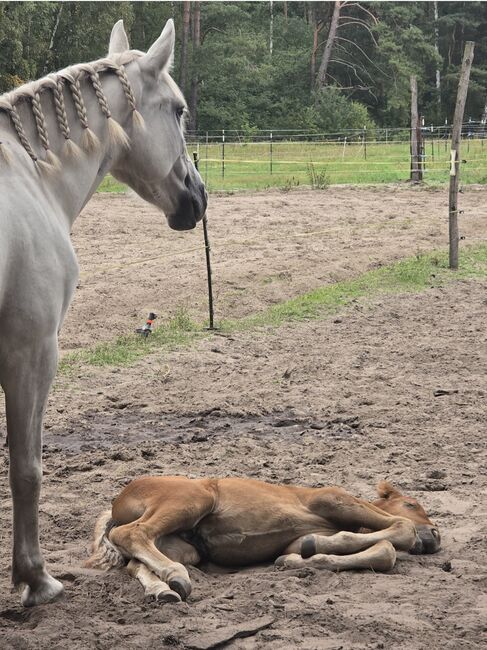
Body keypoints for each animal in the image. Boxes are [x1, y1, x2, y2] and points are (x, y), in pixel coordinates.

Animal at [0, 19, 206, 606]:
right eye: (179, 110)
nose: (199, 195)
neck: (28, 175)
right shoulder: (31, 350)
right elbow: (27, 468)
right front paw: (36, 580)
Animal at [86, 477, 441, 604]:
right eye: (412, 504)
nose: (436, 535)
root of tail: (117, 503)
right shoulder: (333, 498)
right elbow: (401, 531)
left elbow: (381, 550)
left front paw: (305, 554)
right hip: (192, 500)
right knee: (130, 533)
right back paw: (174, 577)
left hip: (182, 546)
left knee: (135, 562)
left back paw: (166, 590)